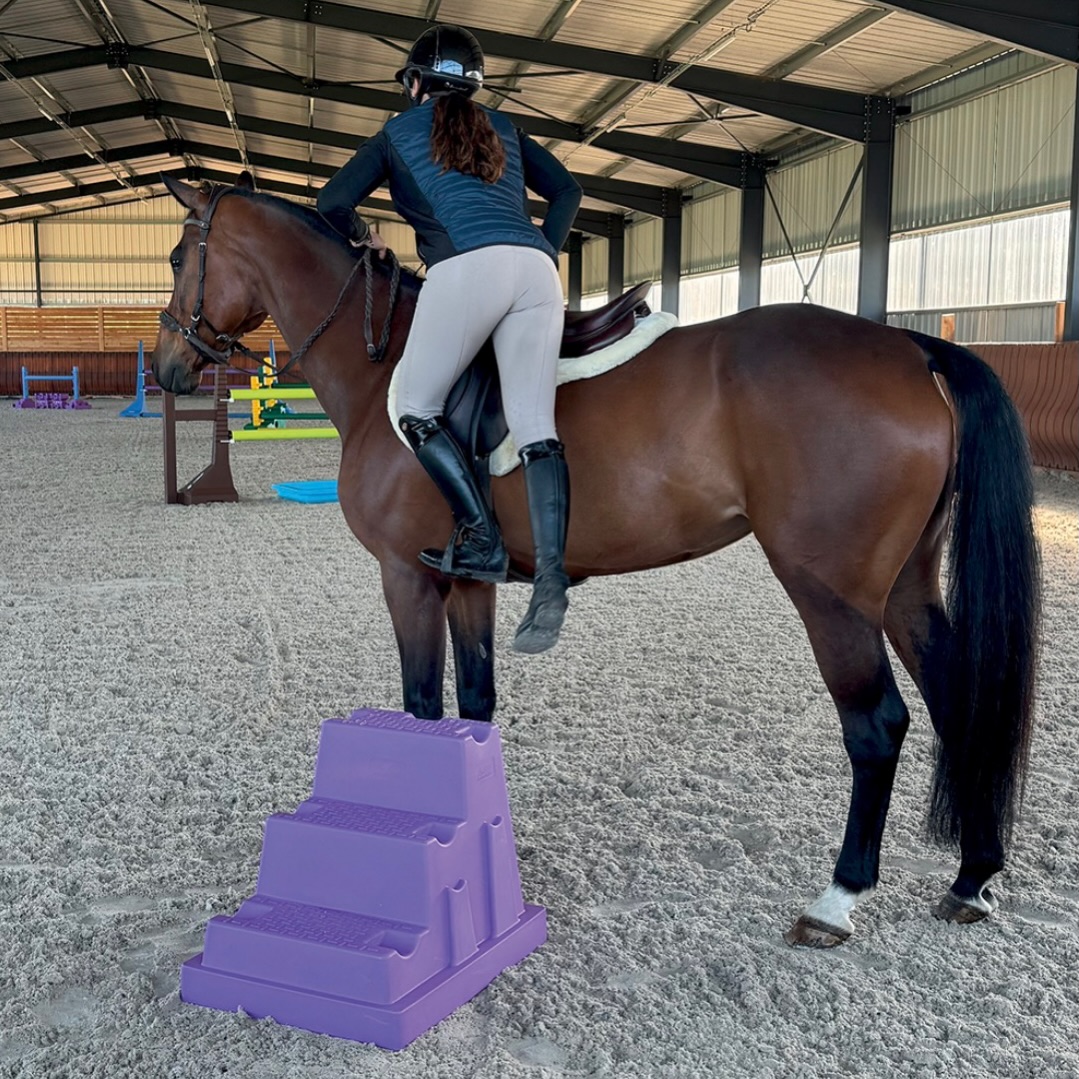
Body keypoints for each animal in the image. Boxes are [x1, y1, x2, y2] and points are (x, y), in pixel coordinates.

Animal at [152, 175, 1040, 948]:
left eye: (176, 257)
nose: (167, 367)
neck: (387, 367)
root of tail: (909, 346)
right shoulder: (464, 582)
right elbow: (474, 706)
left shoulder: (406, 577)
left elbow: (423, 706)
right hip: (903, 589)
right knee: (956, 696)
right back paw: (971, 875)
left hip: (830, 593)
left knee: (875, 723)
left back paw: (838, 897)